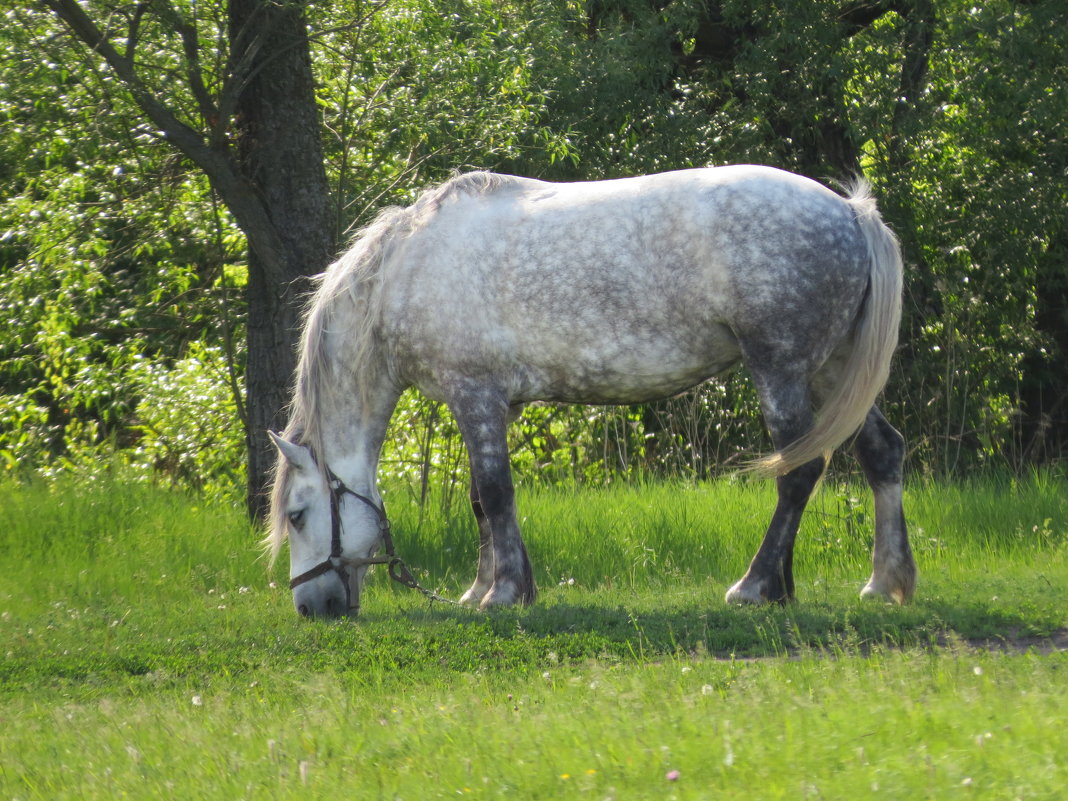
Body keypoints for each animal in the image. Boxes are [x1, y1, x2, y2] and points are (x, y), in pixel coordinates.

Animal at [267, 166, 918, 619]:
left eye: (297, 516)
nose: (310, 608)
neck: (408, 269)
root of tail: (851, 212)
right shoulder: (497, 405)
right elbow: (483, 499)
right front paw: (488, 588)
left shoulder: (474, 395)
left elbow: (493, 492)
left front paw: (502, 594)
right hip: (833, 373)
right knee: (881, 452)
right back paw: (884, 580)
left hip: (780, 369)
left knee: (798, 473)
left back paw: (756, 586)